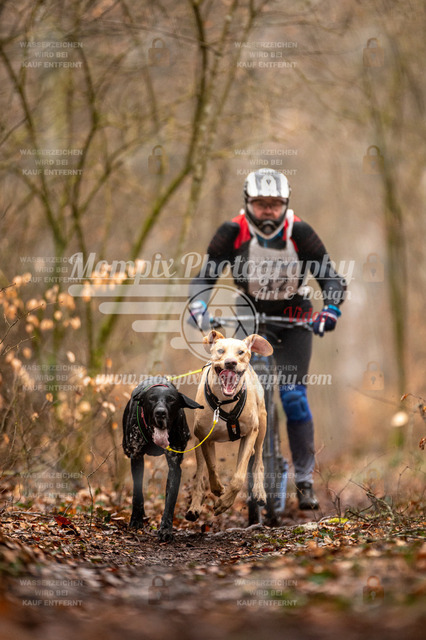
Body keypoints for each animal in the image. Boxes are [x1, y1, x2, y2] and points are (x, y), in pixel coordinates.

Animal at [122, 376, 203, 541]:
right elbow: (137, 494)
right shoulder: (136, 458)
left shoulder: (174, 465)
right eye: (152, 399)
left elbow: (170, 500)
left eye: (171, 400)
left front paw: (165, 529)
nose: (160, 413)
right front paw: (136, 520)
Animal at [185, 330, 273, 521]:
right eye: (220, 350)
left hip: (262, 424)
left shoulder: (250, 433)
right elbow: (211, 467)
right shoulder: (205, 438)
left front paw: (224, 503)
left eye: (241, 352)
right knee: (200, 474)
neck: (223, 403)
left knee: (258, 458)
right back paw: (194, 506)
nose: (231, 362)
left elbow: (238, 478)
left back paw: (259, 492)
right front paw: (218, 488)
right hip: (197, 441)